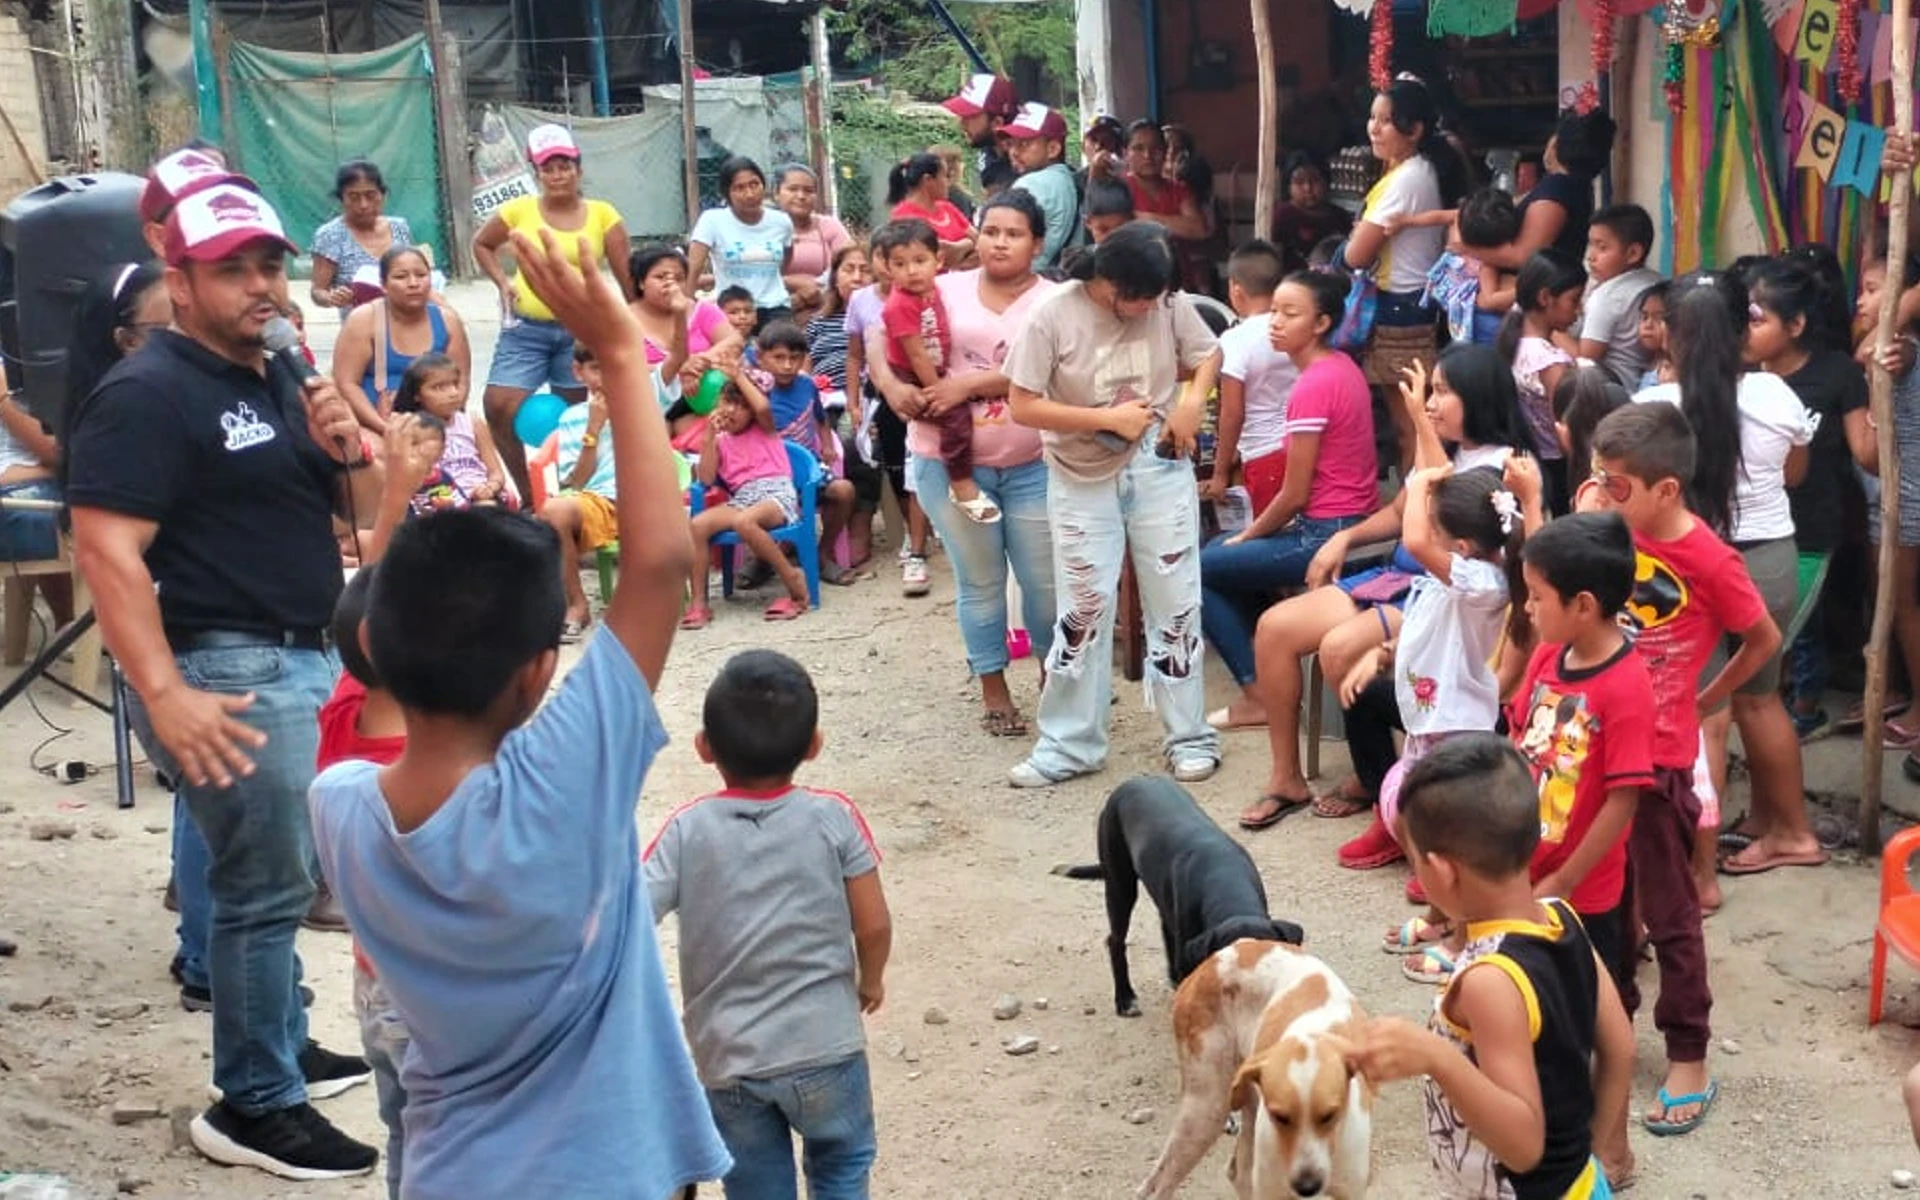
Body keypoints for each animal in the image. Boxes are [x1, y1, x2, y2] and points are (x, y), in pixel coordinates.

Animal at [1128, 940, 1374, 1190]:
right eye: (1282, 1118)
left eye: (1328, 1116)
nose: (1306, 1184)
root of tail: (1207, 966)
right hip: (1208, 1108)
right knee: (1155, 1186)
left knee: (1237, 1173)